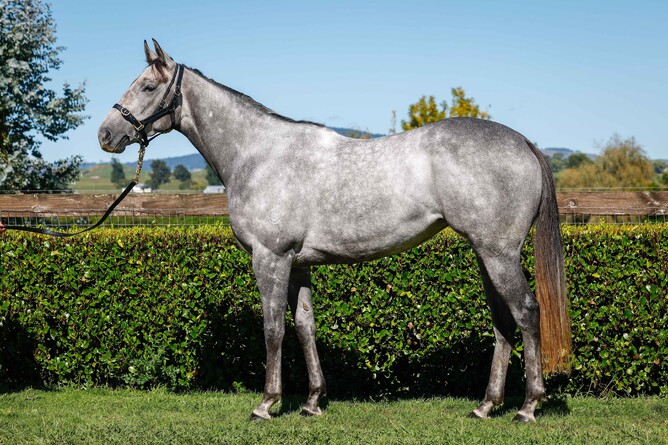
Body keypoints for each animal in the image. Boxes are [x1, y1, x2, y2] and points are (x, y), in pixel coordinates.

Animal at [99, 40, 571, 422]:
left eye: (146, 87)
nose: (106, 134)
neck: (258, 153)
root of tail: (524, 143)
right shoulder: (298, 263)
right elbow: (305, 326)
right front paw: (312, 401)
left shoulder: (270, 258)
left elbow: (273, 329)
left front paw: (267, 403)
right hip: (485, 254)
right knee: (502, 322)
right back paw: (486, 406)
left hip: (499, 253)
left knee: (526, 313)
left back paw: (529, 406)